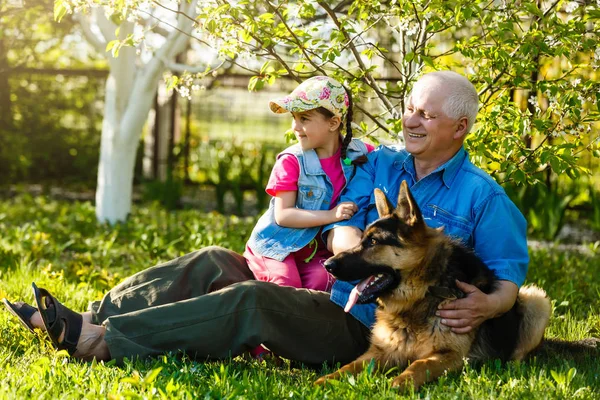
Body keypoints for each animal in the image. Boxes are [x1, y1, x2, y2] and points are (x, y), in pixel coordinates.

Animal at [314, 182, 552, 390]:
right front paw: (325, 380)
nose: (327, 265)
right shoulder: (379, 352)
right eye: (362, 239)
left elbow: (419, 364)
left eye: (373, 242)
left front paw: (401, 382)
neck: (421, 294)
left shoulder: (450, 355)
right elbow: (348, 367)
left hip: (537, 300)